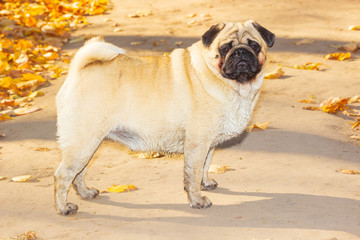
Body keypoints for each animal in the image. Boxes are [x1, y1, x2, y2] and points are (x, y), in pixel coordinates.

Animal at [53, 21, 274, 216]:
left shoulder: (208, 145)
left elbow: (205, 166)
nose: (241, 52)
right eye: (225, 48)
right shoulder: (197, 144)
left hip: (88, 145)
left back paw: (85, 193)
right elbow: (193, 173)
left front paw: (205, 183)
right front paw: (197, 200)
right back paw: (63, 208)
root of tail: (79, 69)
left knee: (78, 173)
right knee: (63, 175)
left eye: (255, 46)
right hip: (82, 142)